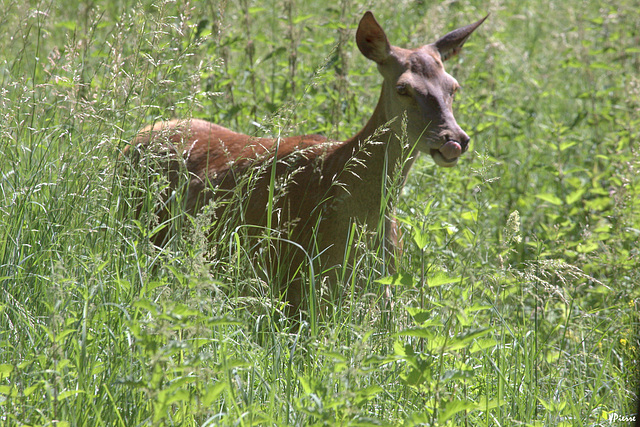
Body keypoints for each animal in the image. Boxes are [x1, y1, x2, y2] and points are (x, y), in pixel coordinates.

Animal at [127, 11, 488, 316]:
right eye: (403, 88)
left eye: (453, 87)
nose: (454, 139)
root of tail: (137, 135)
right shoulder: (298, 280)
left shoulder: (383, 286)